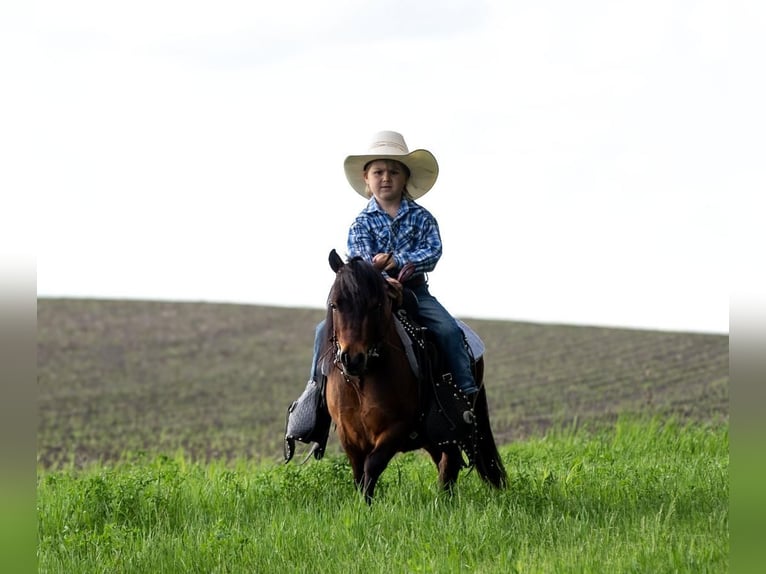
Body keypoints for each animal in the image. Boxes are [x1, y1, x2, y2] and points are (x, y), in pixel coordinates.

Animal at [320, 250, 508, 506]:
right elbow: (358, 474)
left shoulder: (396, 429)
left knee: (450, 462)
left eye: (376, 305)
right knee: (445, 462)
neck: (362, 382)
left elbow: (372, 466)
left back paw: (444, 503)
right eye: (335, 304)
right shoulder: (348, 435)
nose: (353, 359)